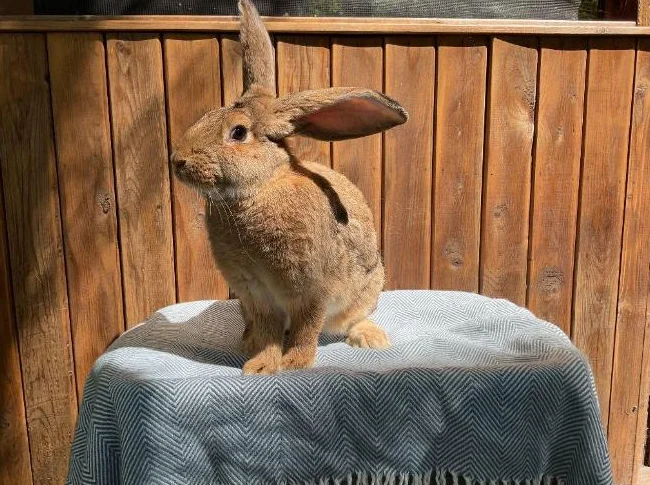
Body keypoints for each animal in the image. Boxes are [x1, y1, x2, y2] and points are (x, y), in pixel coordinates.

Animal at [171, 0, 408, 375]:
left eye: (238, 133)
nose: (177, 161)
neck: (258, 190)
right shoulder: (256, 294)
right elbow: (269, 331)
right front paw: (260, 366)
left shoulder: (311, 290)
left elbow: (305, 328)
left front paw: (295, 364)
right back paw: (247, 341)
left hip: (366, 290)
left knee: (351, 320)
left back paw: (371, 338)